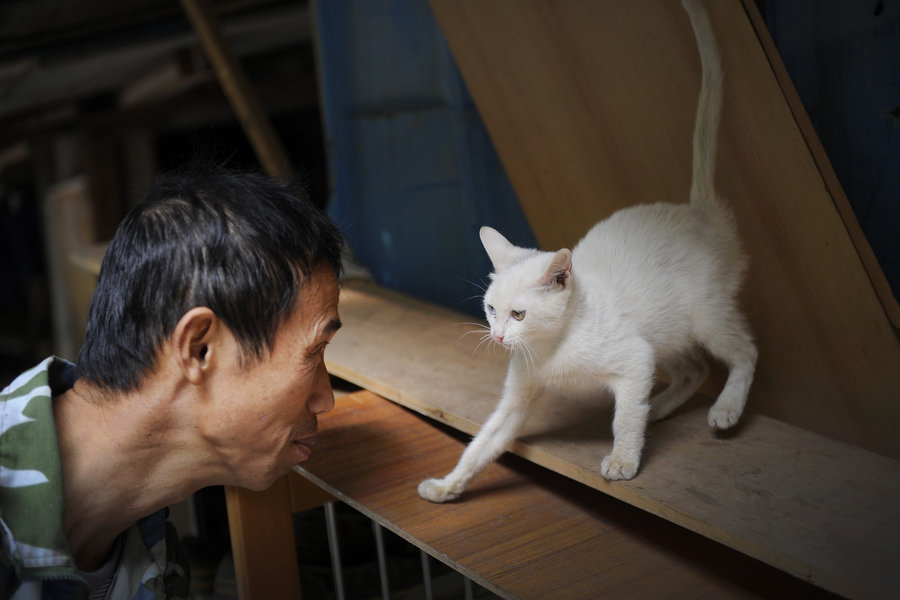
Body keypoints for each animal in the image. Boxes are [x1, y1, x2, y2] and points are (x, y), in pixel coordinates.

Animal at [418, 0, 756, 504]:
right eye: (491, 309)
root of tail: (698, 212)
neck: (552, 348)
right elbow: (481, 445)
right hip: (663, 331)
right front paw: (447, 486)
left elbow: (624, 416)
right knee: (693, 369)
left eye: (518, 314)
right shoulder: (520, 395)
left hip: (704, 317)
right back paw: (659, 408)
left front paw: (622, 461)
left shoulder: (634, 361)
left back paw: (725, 409)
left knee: (744, 352)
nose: (497, 337)